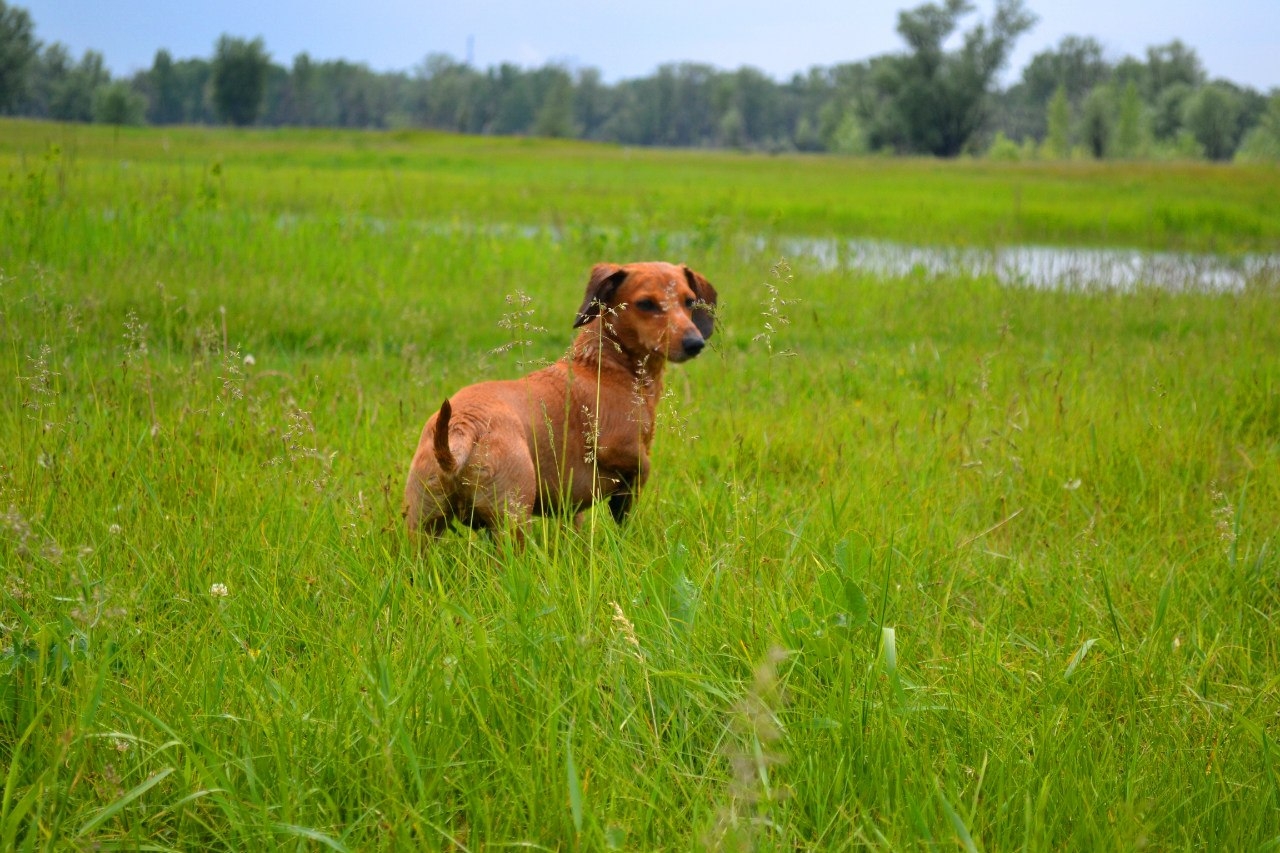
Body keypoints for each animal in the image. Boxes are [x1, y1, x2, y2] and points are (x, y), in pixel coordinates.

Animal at [404, 258, 716, 540]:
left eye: (689, 302)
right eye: (646, 304)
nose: (695, 343)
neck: (604, 366)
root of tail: (464, 424)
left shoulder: (572, 508)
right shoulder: (622, 453)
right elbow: (638, 476)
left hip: (423, 529)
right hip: (511, 524)